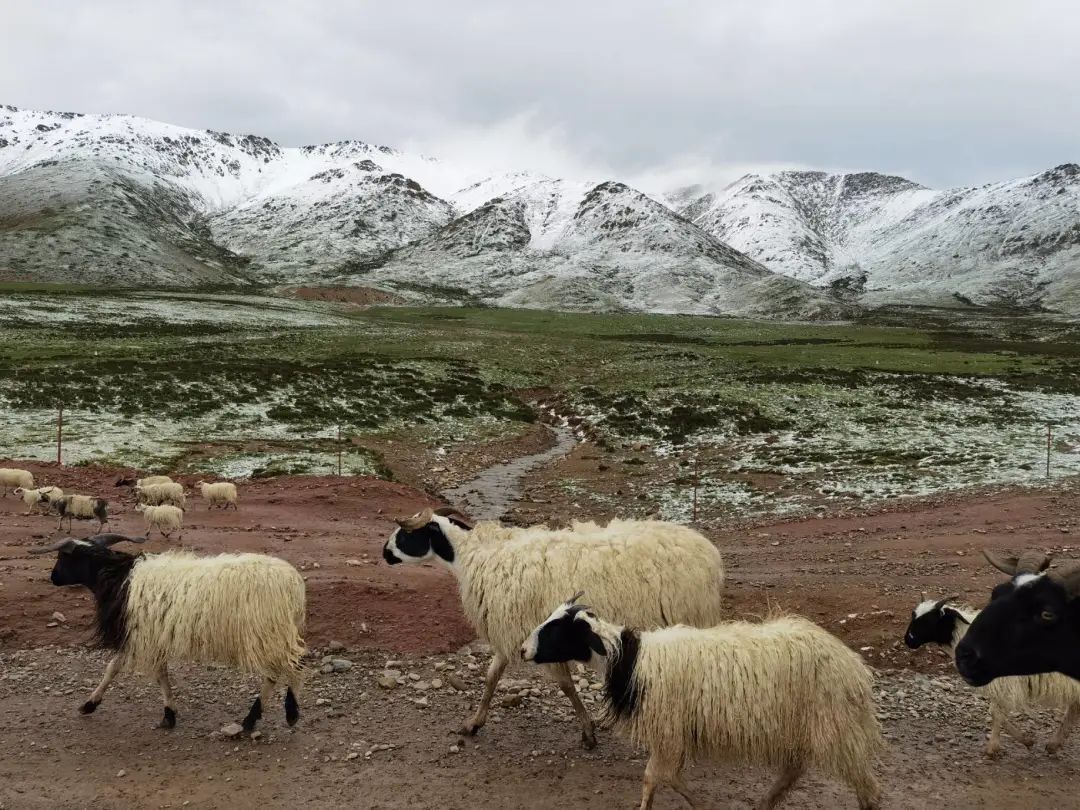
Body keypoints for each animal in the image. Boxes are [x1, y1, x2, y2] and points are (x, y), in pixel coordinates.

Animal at [29, 535, 306, 734]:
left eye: (62, 558)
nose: (52, 577)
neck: (118, 577)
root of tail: (295, 585)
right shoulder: (151, 636)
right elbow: (154, 673)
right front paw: (169, 712)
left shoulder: (140, 635)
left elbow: (115, 669)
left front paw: (90, 704)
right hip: (273, 634)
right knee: (285, 669)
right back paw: (260, 717)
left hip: (266, 633)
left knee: (285, 670)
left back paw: (281, 714)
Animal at [384, 507, 730, 747]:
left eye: (405, 535)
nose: (383, 553)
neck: (474, 557)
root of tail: (709, 552)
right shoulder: (514, 634)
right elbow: (491, 676)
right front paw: (474, 722)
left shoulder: (536, 634)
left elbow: (565, 686)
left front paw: (588, 732)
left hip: (691, 619)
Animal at [522, 596, 885, 810]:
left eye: (556, 630)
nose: (523, 650)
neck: (630, 661)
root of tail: (854, 667)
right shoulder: (673, 734)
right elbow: (664, 777)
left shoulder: (668, 730)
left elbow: (655, 777)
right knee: (793, 771)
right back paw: (765, 802)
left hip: (835, 726)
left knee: (866, 786)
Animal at [902, 591, 1080, 760]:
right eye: (913, 615)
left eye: (929, 620)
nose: (908, 640)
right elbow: (997, 713)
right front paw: (1027, 740)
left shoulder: (1005, 683)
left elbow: (995, 712)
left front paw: (993, 748)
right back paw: (1054, 745)